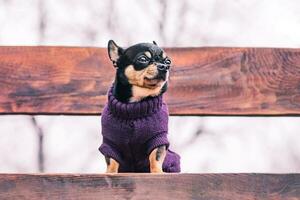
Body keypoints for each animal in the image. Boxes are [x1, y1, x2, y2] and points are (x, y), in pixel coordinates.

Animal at [98, 39, 179, 173]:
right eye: (142, 59)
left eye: (168, 61)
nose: (164, 66)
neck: (135, 105)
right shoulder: (111, 144)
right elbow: (112, 161)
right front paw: (110, 173)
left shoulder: (157, 138)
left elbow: (155, 157)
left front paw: (157, 172)